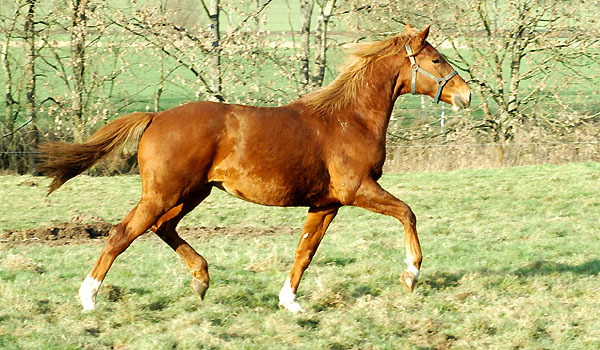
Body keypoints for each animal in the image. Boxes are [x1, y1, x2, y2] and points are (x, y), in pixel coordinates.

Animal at [37, 25, 474, 314]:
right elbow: (407, 213)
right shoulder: (358, 190)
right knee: (123, 232)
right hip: (165, 192)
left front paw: (290, 301)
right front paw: (411, 275)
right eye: (436, 59)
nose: (467, 95)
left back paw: (201, 280)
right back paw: (89, 297)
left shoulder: (326, 203)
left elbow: (306, 250)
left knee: (162, 227)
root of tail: (156, 116)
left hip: (192, 193)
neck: (349, 119)